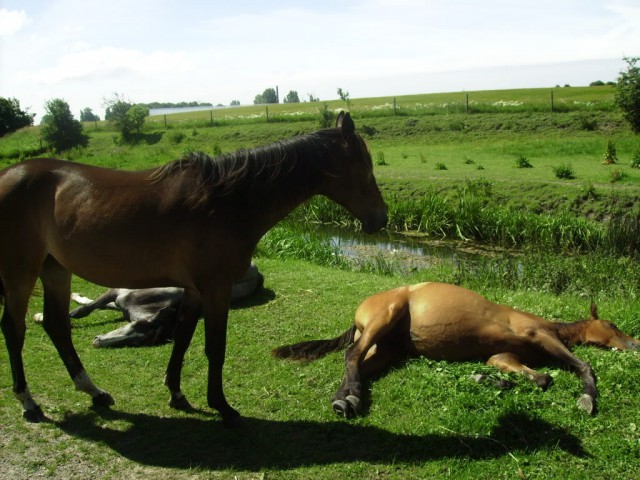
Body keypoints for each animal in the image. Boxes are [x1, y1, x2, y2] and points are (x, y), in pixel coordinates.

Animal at [0, 112, 388, 424]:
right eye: (364, 167)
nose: (381, 219)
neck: (225, 201)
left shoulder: (194, 290)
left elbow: (184, 339)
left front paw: (177, 394)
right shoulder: (214, 288)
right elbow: (215, 347)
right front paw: (223, 407)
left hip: (55, 270)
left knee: (57, 326)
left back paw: (94, 391)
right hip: (20, 273)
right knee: (14, 329)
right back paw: (28, 402)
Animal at [273, 282, 639, 418]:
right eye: (612, 324)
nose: (635, 343)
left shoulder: (502, 357)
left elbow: (538, 378)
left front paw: (487, 379)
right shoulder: (539, 335)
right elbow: (580, 366)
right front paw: (588, 397)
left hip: (387, 348)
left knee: (358, 365)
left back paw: (347, 398)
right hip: (384, 316)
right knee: (351, 355)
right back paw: (349, 398)